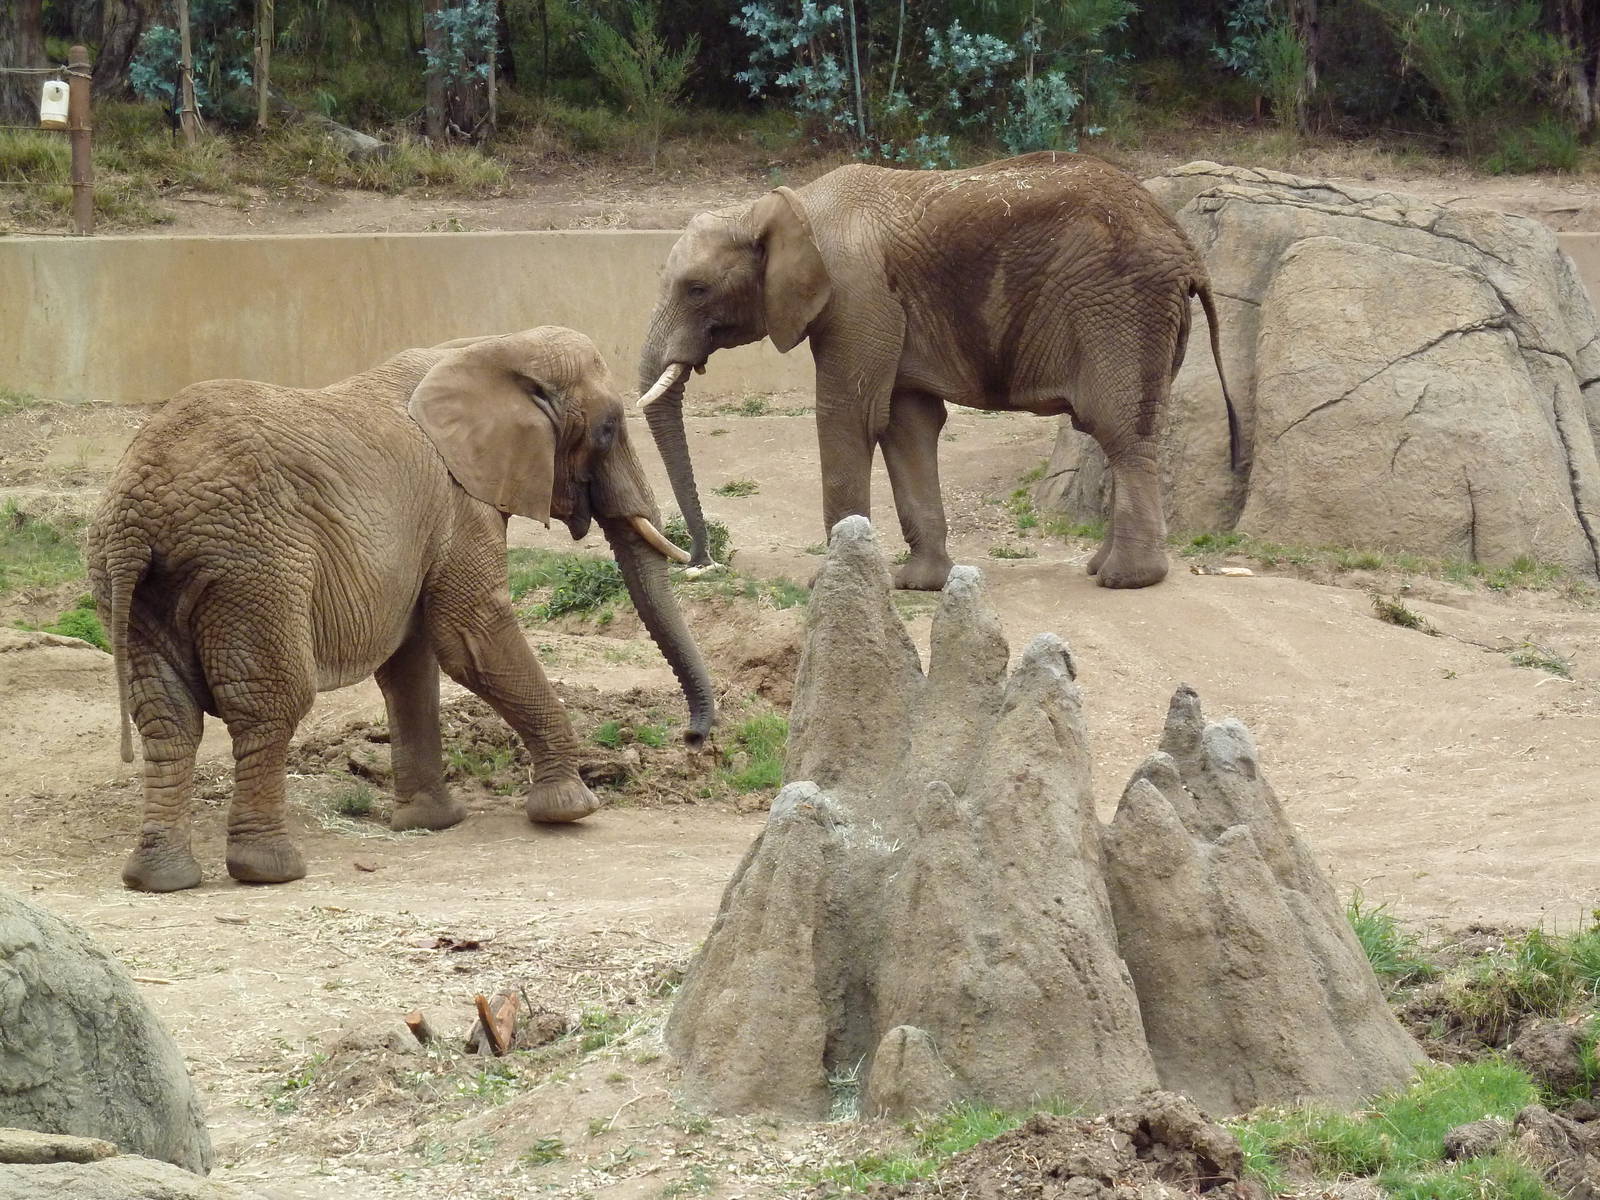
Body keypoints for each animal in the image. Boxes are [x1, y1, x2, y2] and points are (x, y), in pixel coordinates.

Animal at [86, 327, 715, 893]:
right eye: (608, 429)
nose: (693, 738)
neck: (490, 346)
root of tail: (139, 511)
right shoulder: (460, 503)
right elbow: (472, 639)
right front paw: (571, 809)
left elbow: (411, 661)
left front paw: (432, 824)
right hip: (255, 568)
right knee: (268, 704)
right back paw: (269, 872)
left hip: (136, 585)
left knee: (167, 716)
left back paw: (159, 880)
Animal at [637, 150, 1239, 591]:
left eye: (696, 289)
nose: (701, 561)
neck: (777, 206)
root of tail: (1187, 247)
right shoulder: (886, 310)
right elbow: (907, 425)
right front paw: (919, 584)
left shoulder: (857, 294)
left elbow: (849, 416)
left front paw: (826, 584)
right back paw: (1102, 568)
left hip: (1120, 309)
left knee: (1119, 430)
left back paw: (1125, 579)